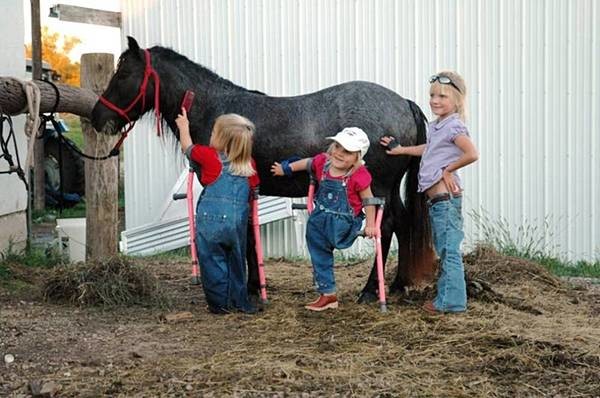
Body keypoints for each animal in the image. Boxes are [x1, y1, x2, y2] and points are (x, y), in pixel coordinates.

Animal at [91, 38, 434, 304]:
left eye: (123, 74)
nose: (97, 117)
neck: (216, 112)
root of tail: (403, 103)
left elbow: (240, 236)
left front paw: (246, 289)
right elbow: (247, 236)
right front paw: (255, 287)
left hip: (377, 189)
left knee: (385, 227)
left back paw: (371, 291)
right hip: (390, 189)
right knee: (403, 224)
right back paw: (398, 284)